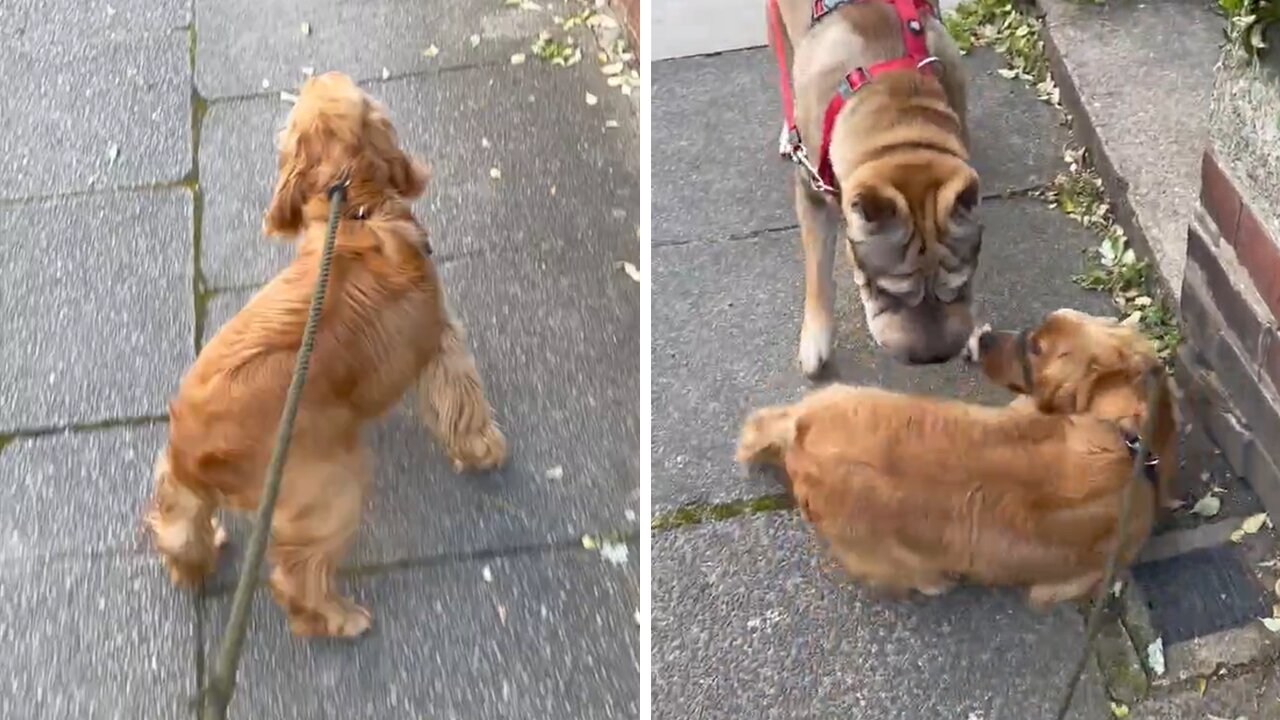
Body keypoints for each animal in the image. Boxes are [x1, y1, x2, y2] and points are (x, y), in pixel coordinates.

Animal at [147, 71, 506, 632]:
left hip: (182, 484)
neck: (354, 207)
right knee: (296, 578)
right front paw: (484, 450)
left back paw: (198, 561)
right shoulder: (441, 342)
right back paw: (339, 619)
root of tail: (194, 452)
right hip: (332, 491)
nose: (319, 74)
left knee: (177, 528)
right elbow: (462, 401)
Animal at [768, 0, 977, 368]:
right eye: (889, 291)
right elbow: (817, 270)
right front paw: (815, 339)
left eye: (960, 284)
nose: (934, 356)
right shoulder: (812, 194)